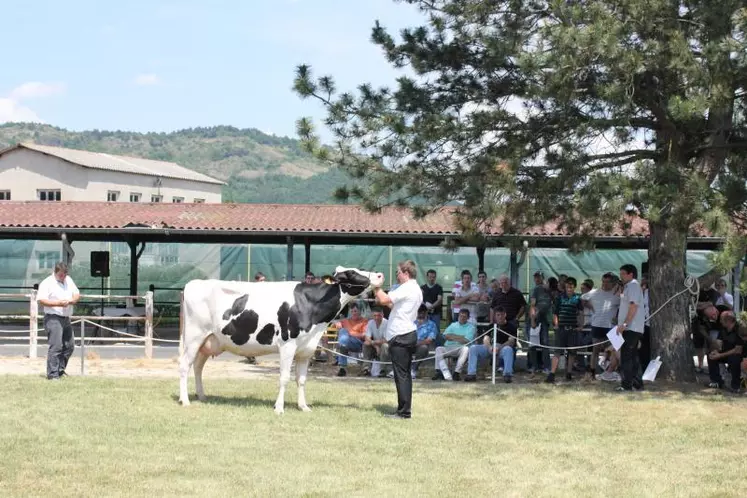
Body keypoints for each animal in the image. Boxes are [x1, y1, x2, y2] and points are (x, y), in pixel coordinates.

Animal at [178, 266, 382, 414]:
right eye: (352, 273)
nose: (380, 275)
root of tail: (192, 284)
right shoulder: (287, 345)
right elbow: (284, 378)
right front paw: (279, 408)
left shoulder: (306, 350)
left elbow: (301, 379)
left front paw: (303, 407)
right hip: (193, 337)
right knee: (185, 366)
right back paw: (185, 400)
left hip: (209, 341)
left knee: (198, 367)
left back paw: (201, 396)